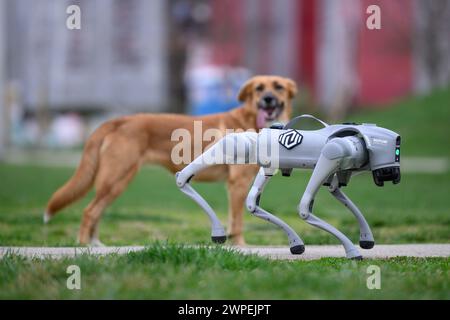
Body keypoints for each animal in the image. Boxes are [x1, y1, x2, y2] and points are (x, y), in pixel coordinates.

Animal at [44, 75, 298, 245]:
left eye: (278, 87)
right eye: (258, 88)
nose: (268, 99)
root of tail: (120, 120)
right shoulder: (237, 184)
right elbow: (237, 222)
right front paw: (240, 246)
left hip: (116, 182)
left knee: (96, 212)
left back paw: (96, 245)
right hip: (116, 179)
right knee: (90, 211)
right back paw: (83, 246)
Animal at [176, 115, 400, 260]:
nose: (392, 173)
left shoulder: (338, 169)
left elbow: (332, 191)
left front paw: (365, 240)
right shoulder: (333, 152)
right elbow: (304, 209)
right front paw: (352, 251)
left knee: (251, 202)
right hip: (248, 150)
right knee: (191, 172)